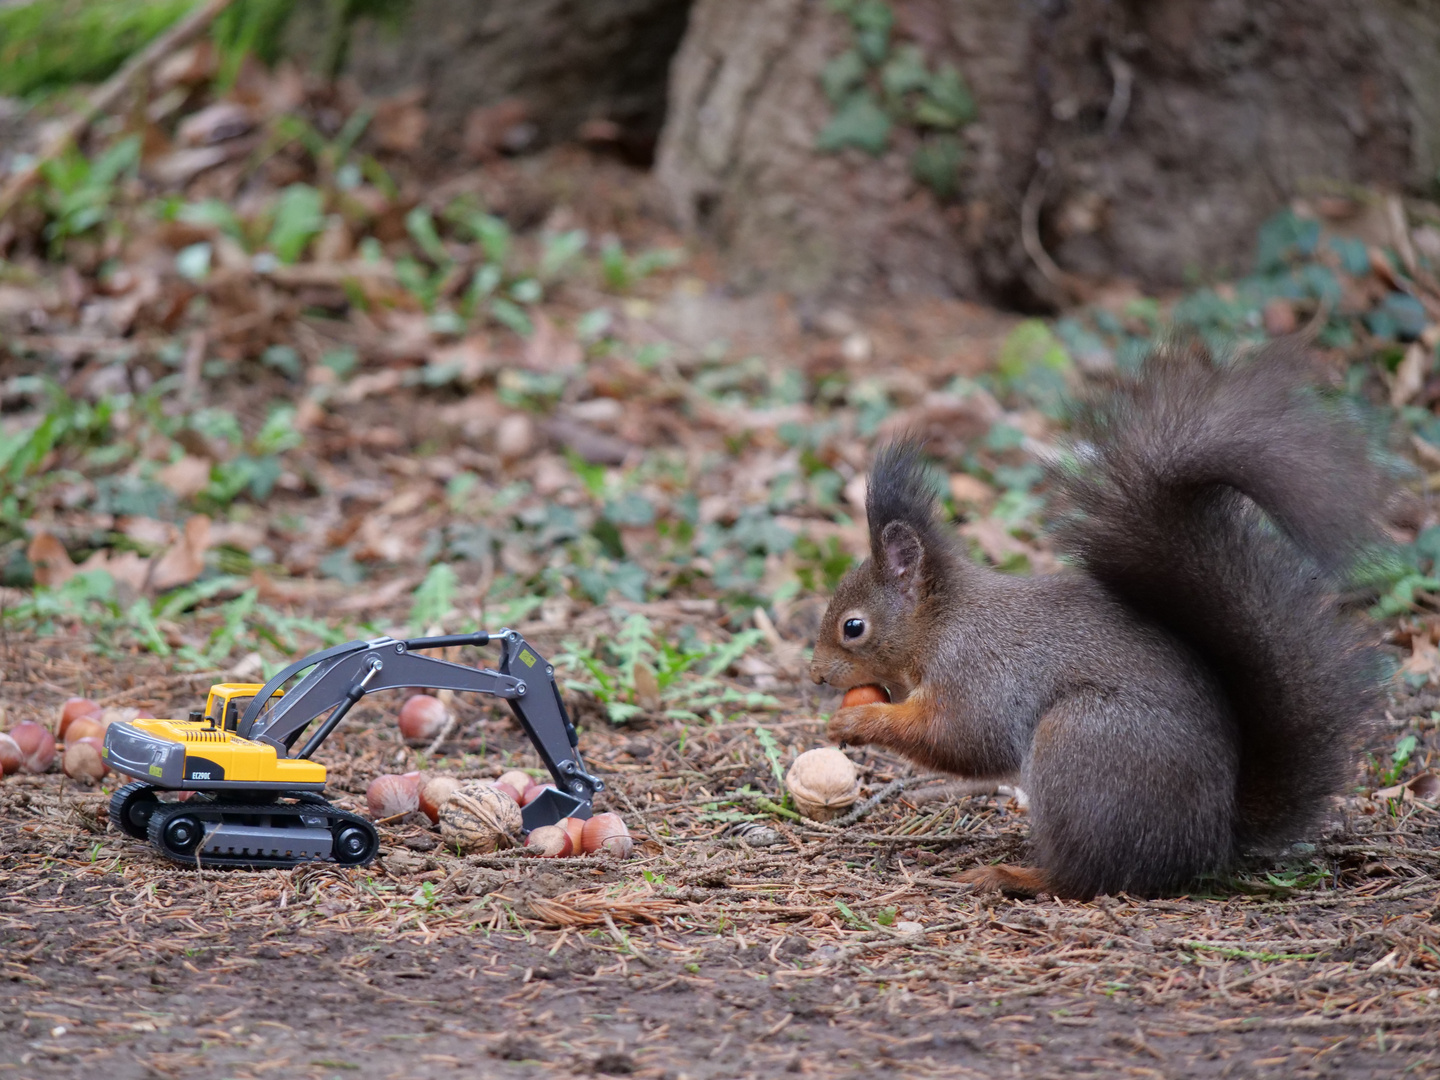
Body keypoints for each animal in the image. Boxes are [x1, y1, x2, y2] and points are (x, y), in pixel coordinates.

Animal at [812, 342, 1382, 898]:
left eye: (852, 627)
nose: (816, 675)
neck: (941, 622)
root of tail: (1209, 839)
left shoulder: (977, 672)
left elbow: (961, 737)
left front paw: (857, 722)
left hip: (1079, 743)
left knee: (1086, 876)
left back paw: (1011, 877)